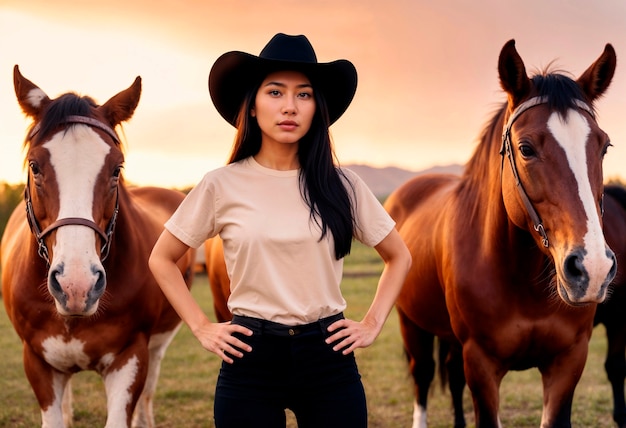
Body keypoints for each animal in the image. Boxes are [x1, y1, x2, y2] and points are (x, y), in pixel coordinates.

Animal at [382, 38, 616, 426]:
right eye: (525, 148)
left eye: (604, 147)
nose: (593, 269)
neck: (521, 280)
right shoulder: (481, 363)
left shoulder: (568, 360)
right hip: (411, 323)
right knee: (423, 376)